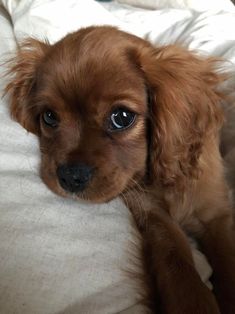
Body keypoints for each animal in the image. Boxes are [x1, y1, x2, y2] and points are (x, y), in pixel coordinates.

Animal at [4, 27, 235, 314]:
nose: (69, 177)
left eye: (122, 117)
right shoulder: (151, 213)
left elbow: (228, 256)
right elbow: (176, 260)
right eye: (49, 116)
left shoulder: (216, 213)